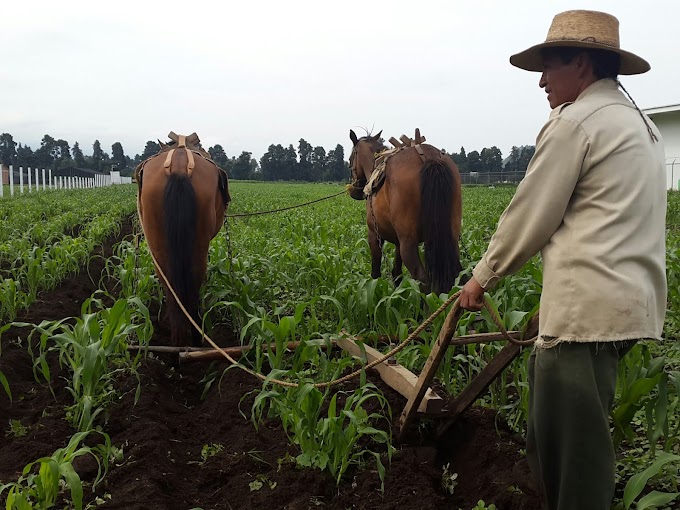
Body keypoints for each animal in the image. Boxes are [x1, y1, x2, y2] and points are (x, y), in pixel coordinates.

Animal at [350, 129, 462, 292]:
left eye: (351, 157)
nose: (355, 191)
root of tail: (429, 157)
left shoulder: (374, 235)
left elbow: (375, 272)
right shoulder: (398, 241)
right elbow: (397, 272)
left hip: (409, 244)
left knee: (423, 281)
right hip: (449, 237)